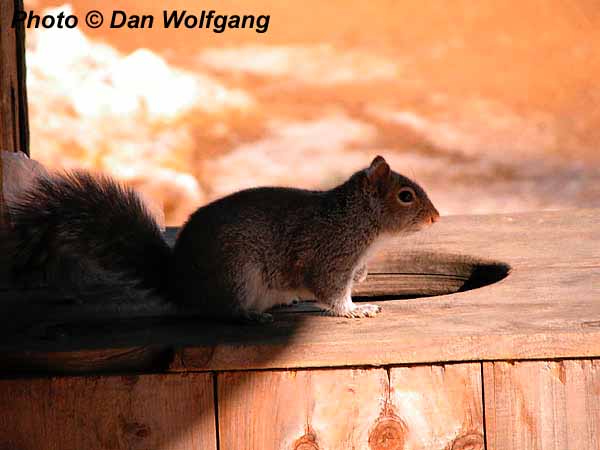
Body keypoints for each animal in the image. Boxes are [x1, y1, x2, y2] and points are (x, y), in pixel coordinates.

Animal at [1, 156, 440, 322]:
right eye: (405, 196)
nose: (436, 218)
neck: (356, 220)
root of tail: (179, 284)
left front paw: (362, 282)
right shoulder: (327, 256)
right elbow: (330, 291)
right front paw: (355, 309)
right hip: (236, 274)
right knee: (221, 310)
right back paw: (250, 315)